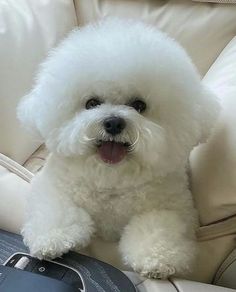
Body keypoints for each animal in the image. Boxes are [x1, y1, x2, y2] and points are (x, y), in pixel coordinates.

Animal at [16, 18, 219, 278]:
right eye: (91, 103)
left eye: (139, 105)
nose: (113, 122)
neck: (111, 180)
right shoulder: (53, 187)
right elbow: (57, 209)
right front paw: (52, 238)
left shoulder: (175, 207)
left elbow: (159, 226)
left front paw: (157, 258)